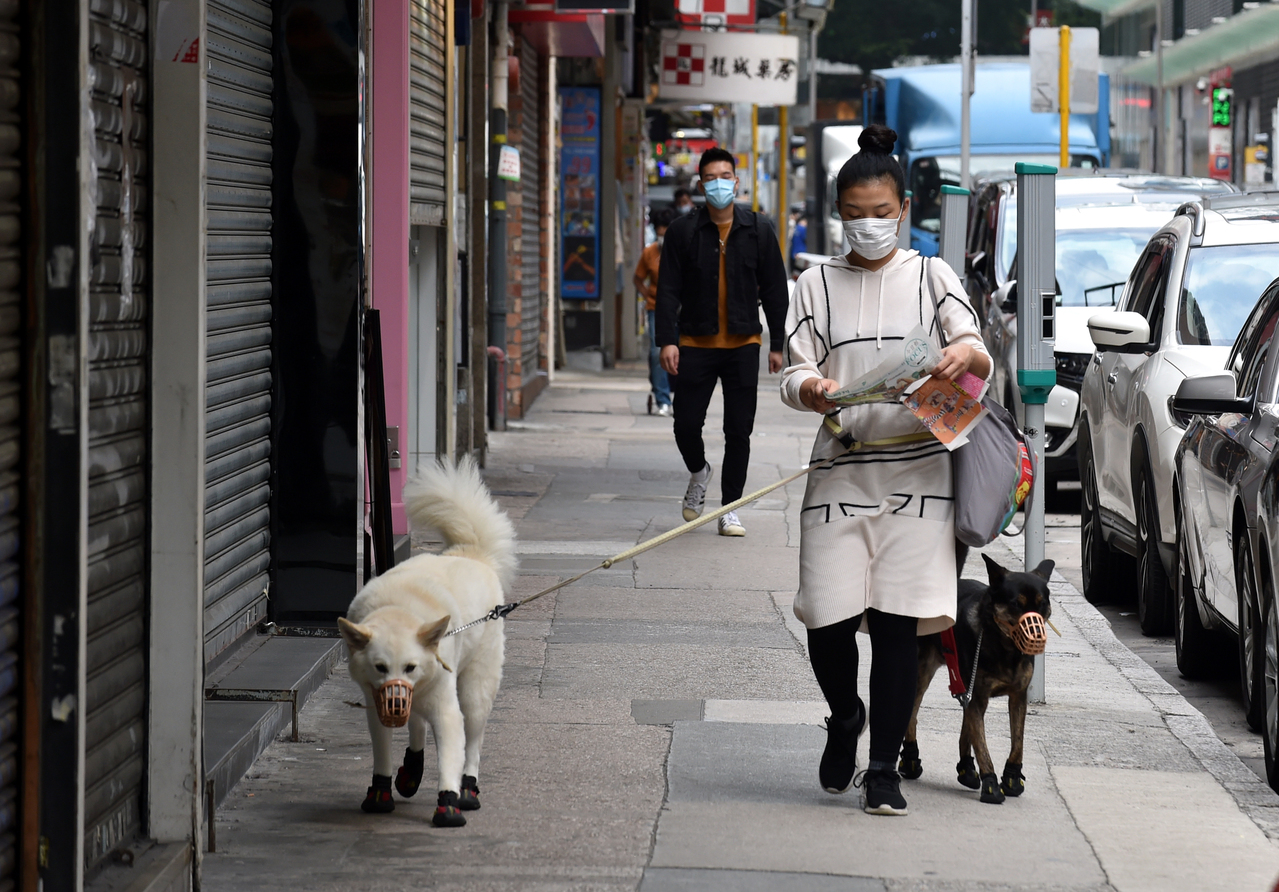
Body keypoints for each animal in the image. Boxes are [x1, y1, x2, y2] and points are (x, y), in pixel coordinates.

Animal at [345, 458, 519, 829]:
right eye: (380, 667)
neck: (400, 610)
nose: (396, 700)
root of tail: (471, 554)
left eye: (411, 665)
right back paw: (412, 769)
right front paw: (380, 793)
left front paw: (449, 801)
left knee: (473, 740)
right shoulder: (376, 702)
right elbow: (383, 752)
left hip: (474, 690)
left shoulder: (445, 707)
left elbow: (452, 753)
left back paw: (468, 787)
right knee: (416, 725)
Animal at [900, 552, 1048, 803]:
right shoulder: (978, 696)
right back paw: (910, 758)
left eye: (1043, 604)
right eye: (1016, 603)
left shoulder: (1016, 697)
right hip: (923, 672)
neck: (1004, 647)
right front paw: (991, 783)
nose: (1037, 634)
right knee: (912, 713)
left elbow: (1017, 741)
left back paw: (966, 768)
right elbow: (982, 745)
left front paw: (1011, 777)